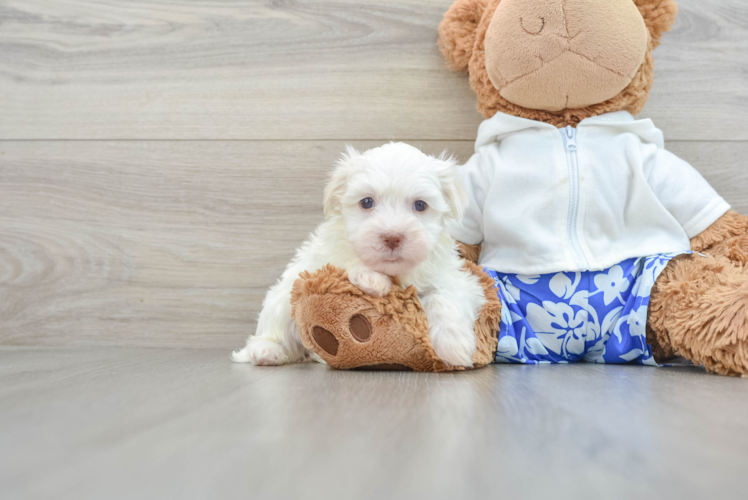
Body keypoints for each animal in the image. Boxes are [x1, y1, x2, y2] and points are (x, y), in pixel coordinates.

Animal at [232, 142, 486, 368]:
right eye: (366, 202)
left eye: (421, 205)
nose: (392, 237)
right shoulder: (323, 260)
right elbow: (344, 261)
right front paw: (372, 279)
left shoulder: (456, 278)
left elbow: (444, 296)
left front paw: (454, 346)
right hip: (282, 301)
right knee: (275, 331)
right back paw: (267, 351)